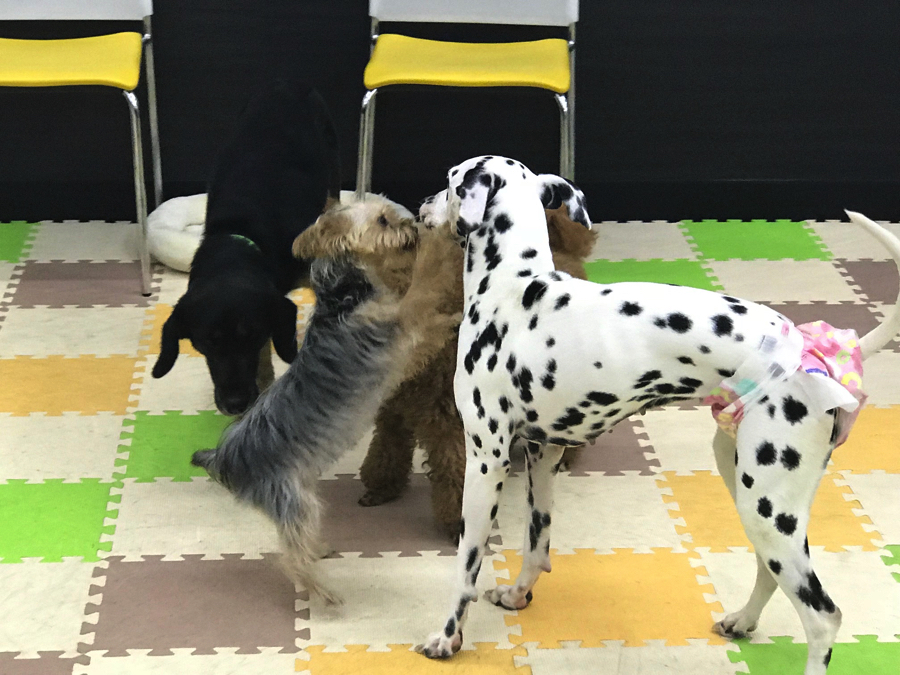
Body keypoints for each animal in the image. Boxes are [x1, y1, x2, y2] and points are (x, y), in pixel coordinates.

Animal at [152, 81, 342, 414]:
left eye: (250, 337)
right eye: (207, 343)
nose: (235, 404)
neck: (239, 237)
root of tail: (287, 84)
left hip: (330, 160)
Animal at [414, 154, 900, 675]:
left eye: (449, 182)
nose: (422, 204)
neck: (513, 290)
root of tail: (811, 352)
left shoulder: (486, 461)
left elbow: (466, 564)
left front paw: (447, 637)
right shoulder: (545, 455)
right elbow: (536, 541)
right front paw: (518, 594)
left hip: (768, 506)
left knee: (823, 616)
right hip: (750, 492)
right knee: (769, 571)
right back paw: (743, 620)